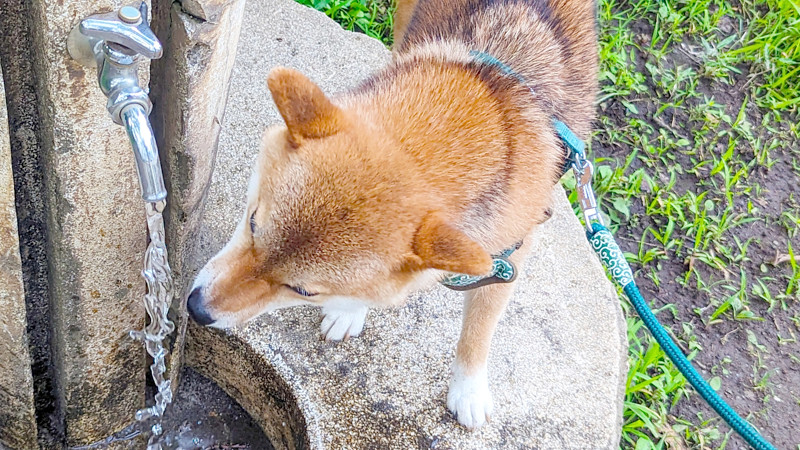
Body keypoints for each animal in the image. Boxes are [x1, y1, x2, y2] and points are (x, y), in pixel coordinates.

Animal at [189, 0, 592, 428]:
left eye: (303, 291)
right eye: (252, 224)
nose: (196, 309)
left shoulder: (508, 255)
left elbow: (479, 330)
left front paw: (469, 388)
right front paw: (351, 311)